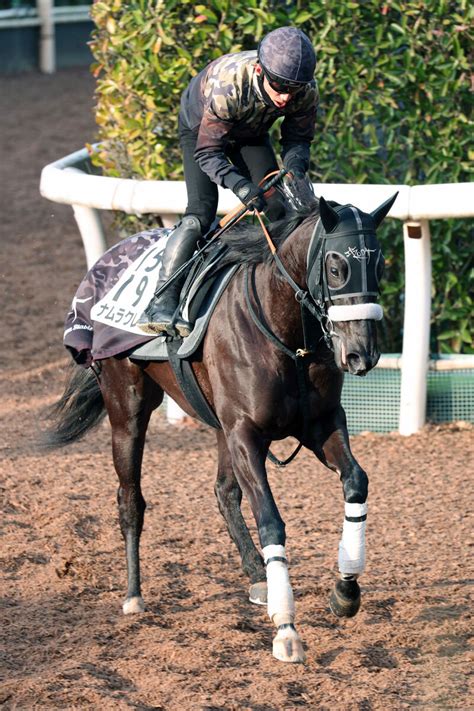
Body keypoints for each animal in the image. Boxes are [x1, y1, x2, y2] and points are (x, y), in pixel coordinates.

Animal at [42, 188, 396, 660]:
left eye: (380, 264)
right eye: (337, 266)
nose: (362, 354)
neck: (285, 332)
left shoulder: (318, 424)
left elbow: (356, 482)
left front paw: (345, 590)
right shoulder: (246, 433)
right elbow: (270, 519)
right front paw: (286, 628)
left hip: (218, 425)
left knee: (224, 492)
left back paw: (258, 576)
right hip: (128, 407)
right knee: (130, 499)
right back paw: (134, 595)